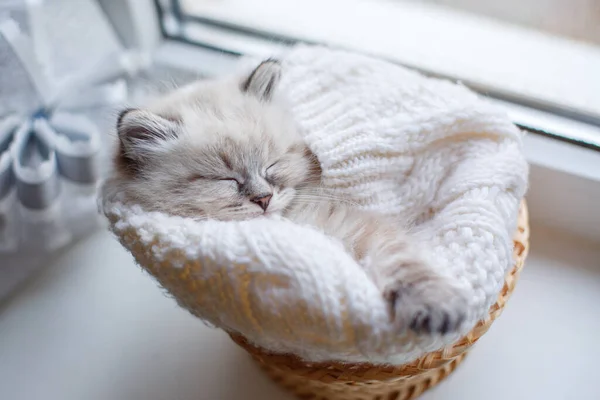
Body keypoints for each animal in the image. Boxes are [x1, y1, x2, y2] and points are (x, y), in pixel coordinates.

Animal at [111, 59, 468, 334]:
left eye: (272, 165)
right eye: (225, 179)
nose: (264, 199)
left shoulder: (347, 224)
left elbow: (403, 264)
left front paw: (434, 305)